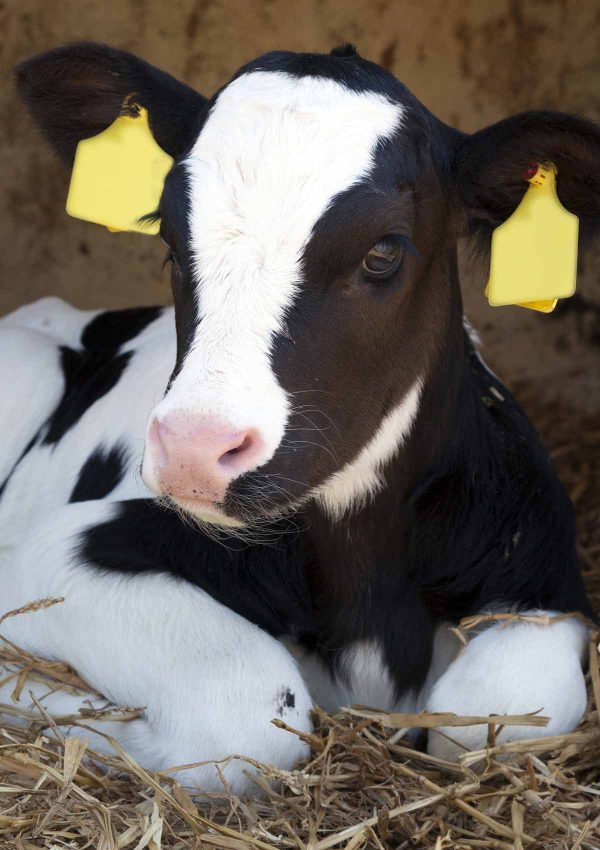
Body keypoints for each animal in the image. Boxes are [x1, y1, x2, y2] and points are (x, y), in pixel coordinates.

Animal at [0, 42, 598, 794]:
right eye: (170, 238)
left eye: (383, 252)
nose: (194, 448)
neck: (365, 590)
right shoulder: (52, 551)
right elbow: (249, 709)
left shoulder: (544, 577)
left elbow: (493, 714)